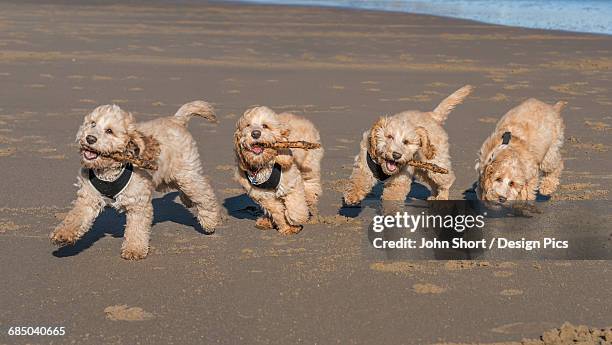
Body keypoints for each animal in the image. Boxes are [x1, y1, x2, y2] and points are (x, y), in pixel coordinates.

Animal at [50, 101, 220, 260]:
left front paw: (134, 250)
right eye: (92, 123)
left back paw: (209, 220)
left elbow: (136, 228)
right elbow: (75, 217)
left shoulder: (138, 203)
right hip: (170, 177)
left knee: (204, 193)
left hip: (186, 175)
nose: (90, 138)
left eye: (109, 131)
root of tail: (176, 119)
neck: (108, 170)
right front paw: (63, 234)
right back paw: (188, 201)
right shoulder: (88, 198)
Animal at [233, 105, 326, 234]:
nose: (255, 133)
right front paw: (286, 228)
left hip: (310, 164)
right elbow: (277, 211)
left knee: (311, 185)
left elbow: (295, 206)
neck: (264, 164)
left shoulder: (291, 182)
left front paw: (296, 219)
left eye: (265, 126)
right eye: (247, 125)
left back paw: (310, 202)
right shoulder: (262, 195)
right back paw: (265, 221)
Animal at [344, 85, 474, 203]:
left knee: (447, 179)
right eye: (389, 136)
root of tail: (432, 116)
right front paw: (352, 196)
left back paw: (442, 197)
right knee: (432, 183)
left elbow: (392, 198)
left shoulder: (399, 181)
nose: (396, 155)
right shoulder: (363, 166)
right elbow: (358, 180)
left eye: (406, 142)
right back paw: (433, 196)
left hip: (436, 164)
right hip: (422, 170)